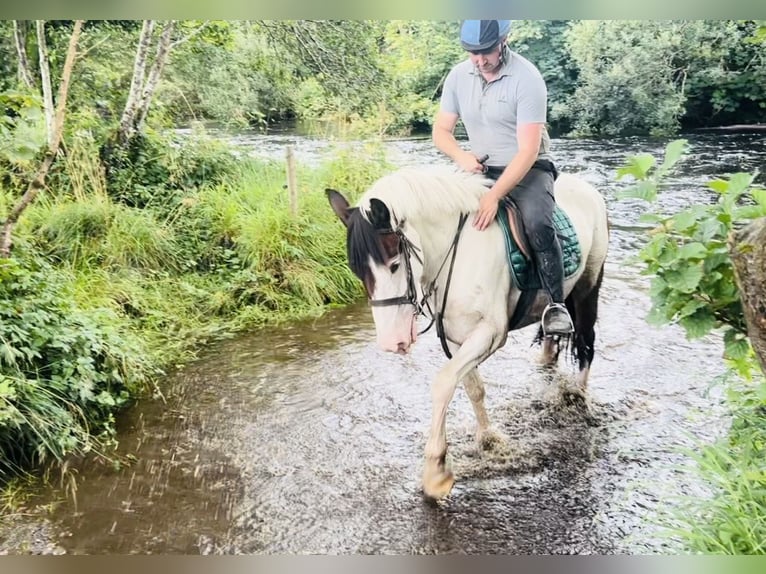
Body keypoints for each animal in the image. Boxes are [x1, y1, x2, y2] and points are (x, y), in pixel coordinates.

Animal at [328, 165, 608, 500]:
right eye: (357, 270)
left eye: (394, 264)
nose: (391, 342)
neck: (458, 254)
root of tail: (589, 189)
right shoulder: (455, 335)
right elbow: (472, 387)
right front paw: (487, 438)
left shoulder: (490, 333)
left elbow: (443, 383)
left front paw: (436, 472)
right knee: (554, 336)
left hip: (587, 287)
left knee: (586, 344)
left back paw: (577, 400)